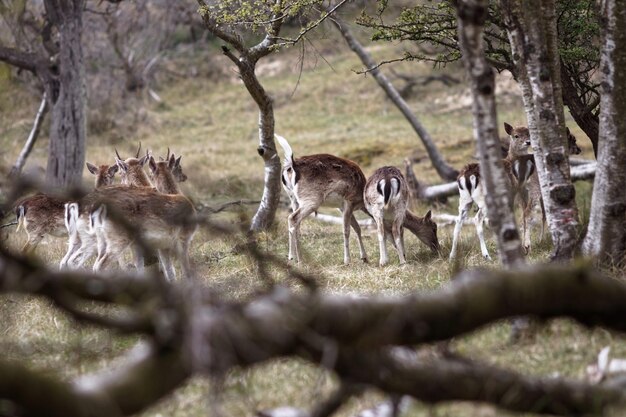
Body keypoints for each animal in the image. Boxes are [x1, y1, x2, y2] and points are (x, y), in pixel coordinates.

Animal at [272, 134, 366, 264]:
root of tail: (291, 164)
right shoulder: (348, 202)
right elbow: (346, 230)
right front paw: (347, 260)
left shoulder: (341, 207)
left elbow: (357, 227)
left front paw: (365, 258)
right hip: (311, 200)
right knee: (293, 218)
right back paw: (298, 259)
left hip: (294, 199)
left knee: (295, 223)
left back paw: (294, 257)